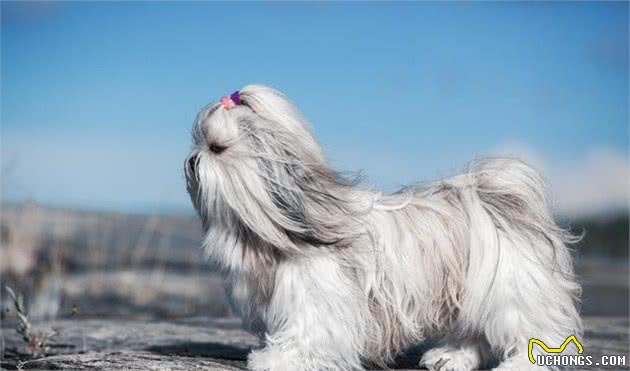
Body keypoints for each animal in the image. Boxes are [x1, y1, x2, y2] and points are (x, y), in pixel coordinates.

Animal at [185, 85, 584, 371]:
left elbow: (307, 334)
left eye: (216, 148)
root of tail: (496, 199)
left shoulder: (316, 298)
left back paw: (519, 365)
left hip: (510, 288)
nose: (190, 161)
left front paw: (276, 360)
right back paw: (450, 357)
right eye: (197, 142)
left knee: (533, 332)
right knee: (475, 334)